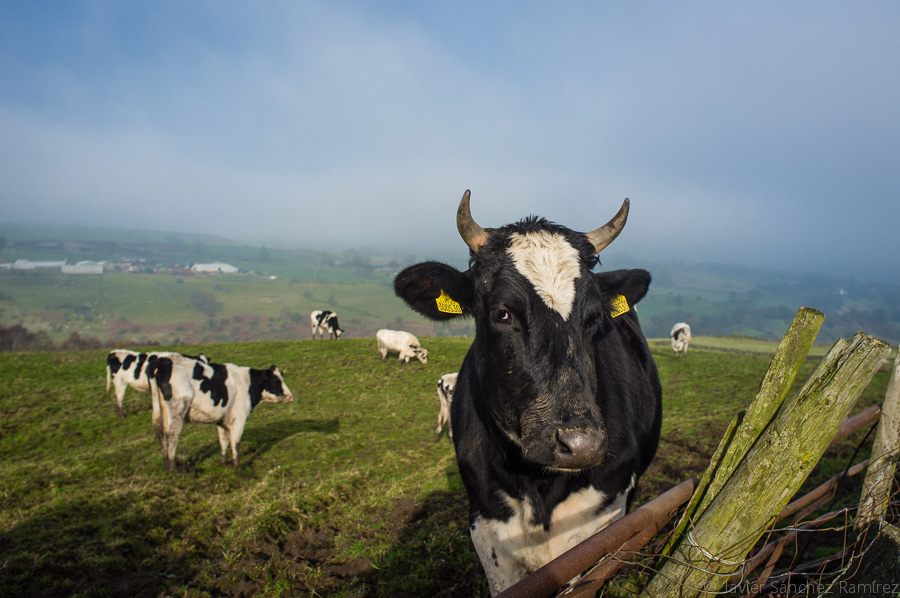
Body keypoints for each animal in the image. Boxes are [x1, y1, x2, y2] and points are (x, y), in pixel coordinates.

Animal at [148, 354, 294, 472]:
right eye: (276, 381)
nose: (291, 396)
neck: (248, 383)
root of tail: (163, 360)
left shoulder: (222, 419)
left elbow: (224, 440)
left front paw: (224, 462)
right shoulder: (239, 417)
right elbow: (235, 442)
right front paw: (237, 466)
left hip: (162, 410)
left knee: (162, 434)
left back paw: (166, 465)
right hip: (178, 408)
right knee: (172, 435)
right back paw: (174, 467)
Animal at [394, 192, 660, 596]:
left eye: (594, 318)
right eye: (502, 313)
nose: (581, 445)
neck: (538, 485)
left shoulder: (602, 523)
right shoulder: (487, 529)